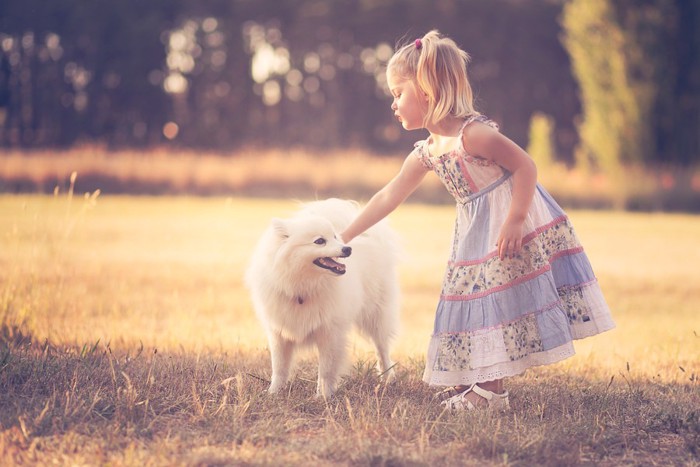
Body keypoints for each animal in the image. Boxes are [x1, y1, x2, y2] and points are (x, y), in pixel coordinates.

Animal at [245, 197, 400, 398]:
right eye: (319, 241)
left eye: (334, 237)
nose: (347, 248)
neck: (302, 286)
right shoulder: (279, 332)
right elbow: (279, 367)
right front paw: (273, 392)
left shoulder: (330, 332)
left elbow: (326, 369)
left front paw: (323, 396)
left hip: (376, 315)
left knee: (382, 348)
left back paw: (387, 377)